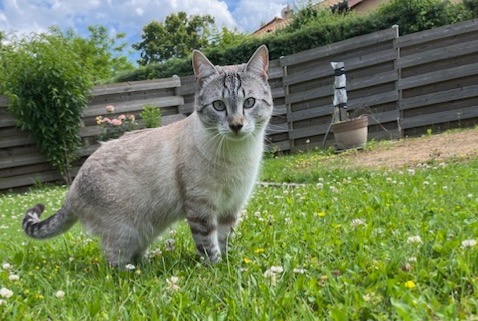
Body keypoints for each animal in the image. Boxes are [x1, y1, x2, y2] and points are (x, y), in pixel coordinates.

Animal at [20, 44, 272, 264]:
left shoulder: (231, 207)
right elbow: (208, 245)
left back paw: (147, 263)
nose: (236, 125)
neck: (237, 155)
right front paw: (216, 268)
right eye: (219, 106)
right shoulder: (200, 208)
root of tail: (71, 190)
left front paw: (228, 263)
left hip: (145, 231)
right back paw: (133, 272)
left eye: (249, 103)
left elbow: (224, 239)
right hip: (126, 231)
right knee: (113, 261)